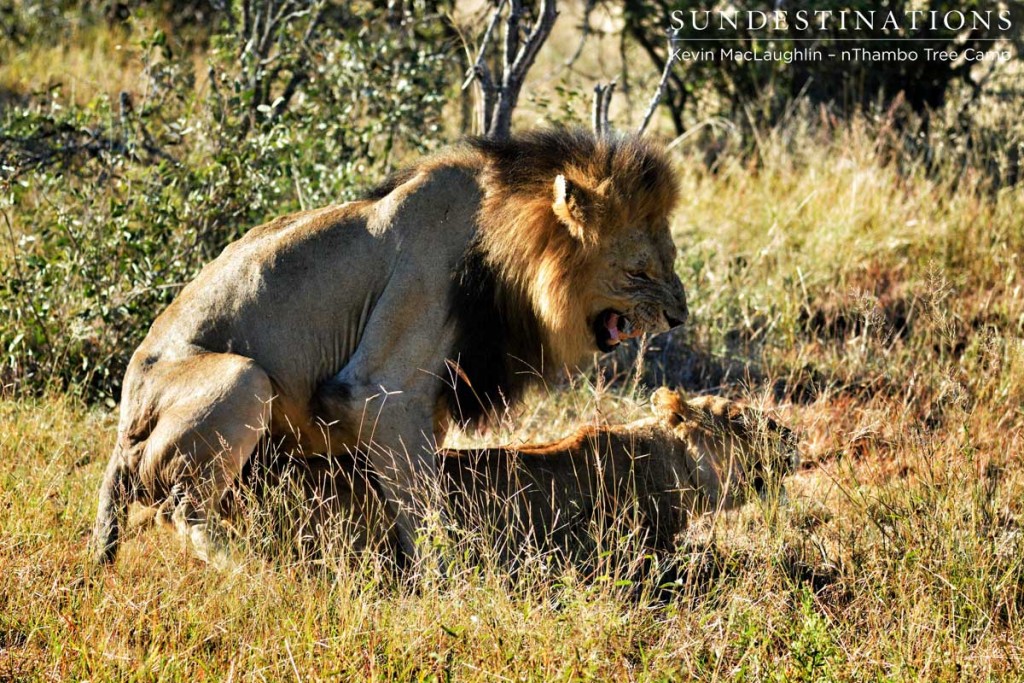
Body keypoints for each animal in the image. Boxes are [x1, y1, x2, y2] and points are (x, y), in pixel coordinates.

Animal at [90, 126, 688, 565]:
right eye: (638, 271)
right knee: (182, 509)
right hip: (243, 379)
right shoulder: (380, 389)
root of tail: (121, 424)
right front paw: (454, 579)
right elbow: (425, 506)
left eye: (672, 257)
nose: (679, 317)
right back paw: (251, 565)